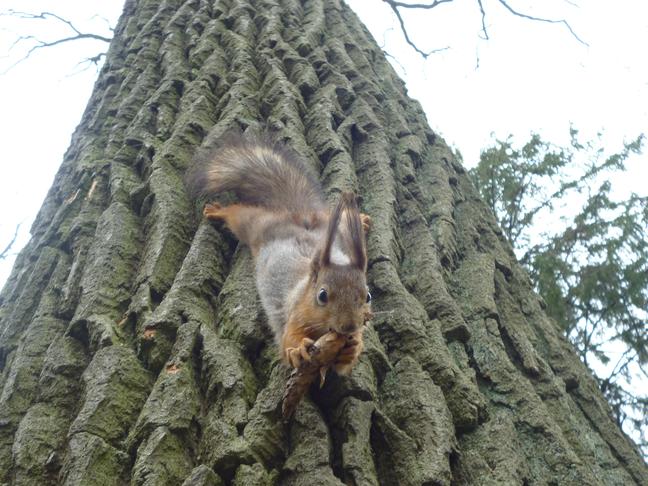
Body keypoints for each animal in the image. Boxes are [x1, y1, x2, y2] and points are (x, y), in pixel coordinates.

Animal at [187, 134, 372, 376]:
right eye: (322, 295)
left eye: (368, 296)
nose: (349, 327)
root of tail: (297, 215)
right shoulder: (295, 315)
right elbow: (287, 339)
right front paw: (298, 349)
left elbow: (345, 363)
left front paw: (352, 349)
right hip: (256, 225)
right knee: (239, 213)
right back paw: (218, 211)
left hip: (334, 229)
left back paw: (360, 219)